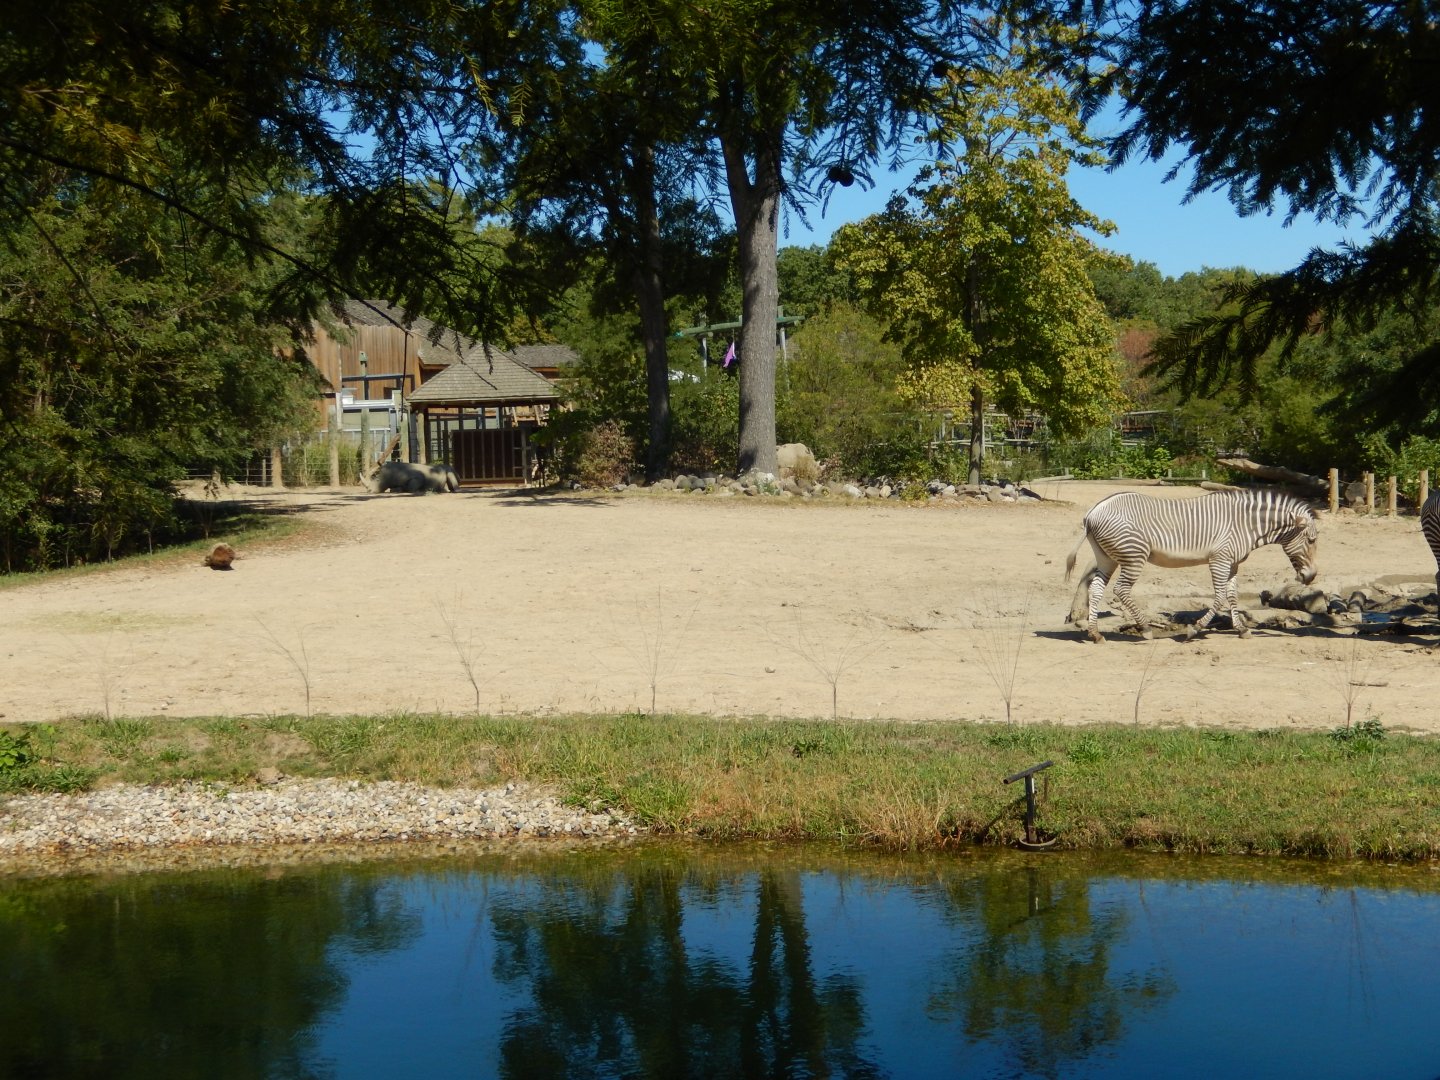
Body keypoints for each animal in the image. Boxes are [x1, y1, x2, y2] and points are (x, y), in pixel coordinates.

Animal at [1065, 489, 1320, 642]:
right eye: (1311, 540)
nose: (1311, 577)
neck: (1244, 524)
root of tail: (1093, 511)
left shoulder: (1232, 563)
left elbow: (1232, 595)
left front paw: (1242, 629)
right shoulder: (1219, 559)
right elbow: (1219, 596)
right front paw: (1194, 629)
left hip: (1107, 557)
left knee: (1096, 589)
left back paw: (1095, 633)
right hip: (1134, 555)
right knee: (1121, 589)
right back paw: (1145, 629)